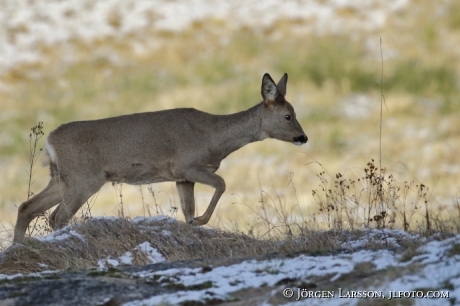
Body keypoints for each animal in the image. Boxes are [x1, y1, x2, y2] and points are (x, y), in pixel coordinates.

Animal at [14, 73, 308, 243]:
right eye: (288, 116)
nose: (302, 137)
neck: (214, 137)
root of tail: (50, 142)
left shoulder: (181, 178)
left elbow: (188, 209)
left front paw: (193, 225)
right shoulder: (187, 165)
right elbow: (222, 184)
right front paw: (202, 221)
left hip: (61, 178)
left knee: (27, 207)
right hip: (83, 178)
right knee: (57, 217)